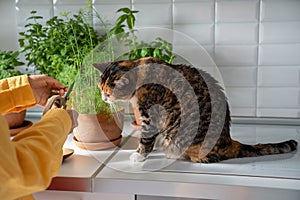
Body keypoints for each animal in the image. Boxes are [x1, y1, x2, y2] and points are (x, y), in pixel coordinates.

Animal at [94, 56, 298, 162]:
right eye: (100, 89)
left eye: (108, 92)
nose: (103, 98)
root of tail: (228, 142)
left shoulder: (151, 116)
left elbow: (146, 139)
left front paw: (138, 156)